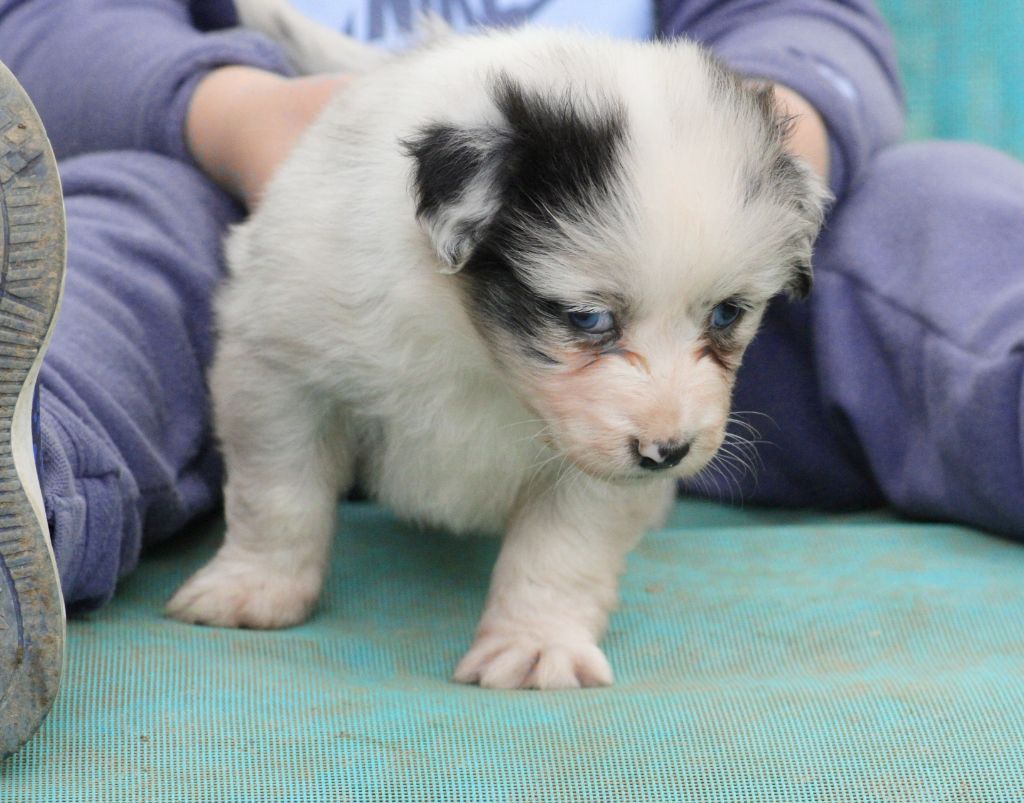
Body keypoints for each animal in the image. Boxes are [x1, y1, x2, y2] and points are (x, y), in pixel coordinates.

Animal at [165, 0, 823, 688]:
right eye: (589, 318)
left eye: (728, 313)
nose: (668, 453)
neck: (478, 348)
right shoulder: (281, 363)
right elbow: (279, 494)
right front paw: (253, 589)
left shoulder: (598, 462)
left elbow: (563, 549)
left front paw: (535, 646)